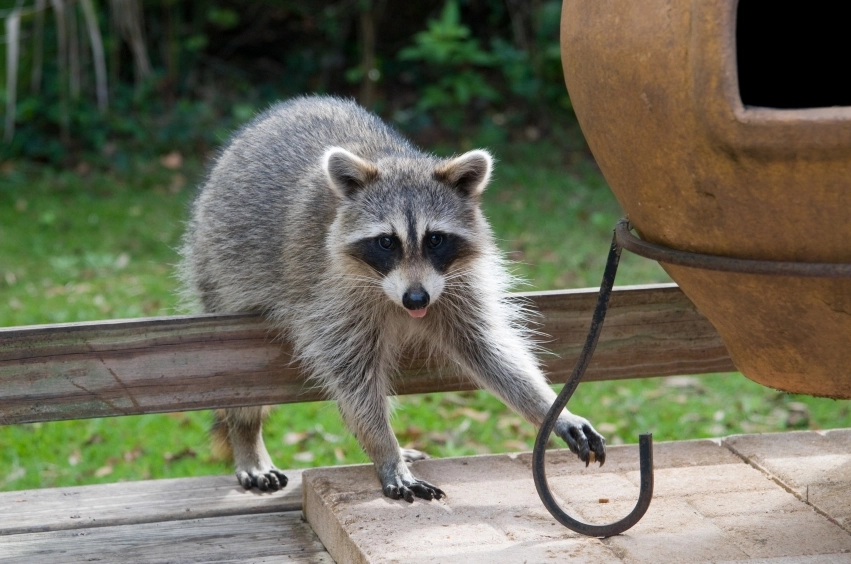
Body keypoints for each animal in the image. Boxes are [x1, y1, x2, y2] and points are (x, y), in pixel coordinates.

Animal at [179, 96, 606, 502]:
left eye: (435, 239)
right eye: (386, 242)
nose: (416, 299)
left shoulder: (453, 284)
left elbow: (490, 351)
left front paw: (550, 408)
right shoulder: (327, 296)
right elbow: (352, 379)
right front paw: (385, 451)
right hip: (216, 265)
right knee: (243, 388)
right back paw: (246, 436)